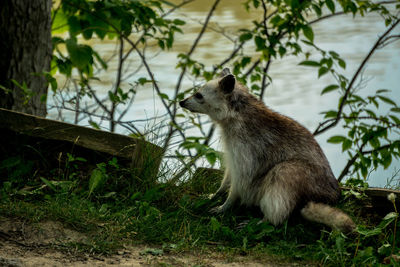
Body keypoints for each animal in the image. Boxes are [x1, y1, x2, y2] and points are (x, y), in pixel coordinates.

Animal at [180, 68, 354, 233]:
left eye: (199, 95)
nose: (181, 102)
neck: (237, 111)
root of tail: (331, 195)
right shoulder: (232, 146)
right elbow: (230, 172)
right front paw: (219, 192)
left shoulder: (247, 147)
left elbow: (241, 178)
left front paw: (228, 203)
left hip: (306, 177)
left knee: (282, 176)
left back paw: (268, 219)